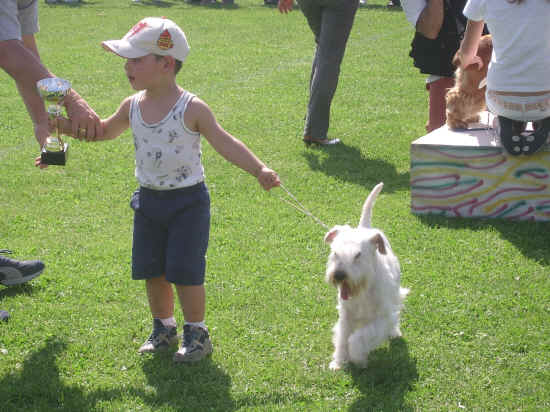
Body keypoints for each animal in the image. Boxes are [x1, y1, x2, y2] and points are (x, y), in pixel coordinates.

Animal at [326, 183, 412, 370]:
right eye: (335, 252)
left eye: (358, 255)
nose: (339, 275)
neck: (363, 290)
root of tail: (366, 228)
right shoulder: (346, 316)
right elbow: (342, 338)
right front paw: (339, 362)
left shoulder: (382, 319)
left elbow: (358, 338)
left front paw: (358, 358)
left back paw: (394, 333)